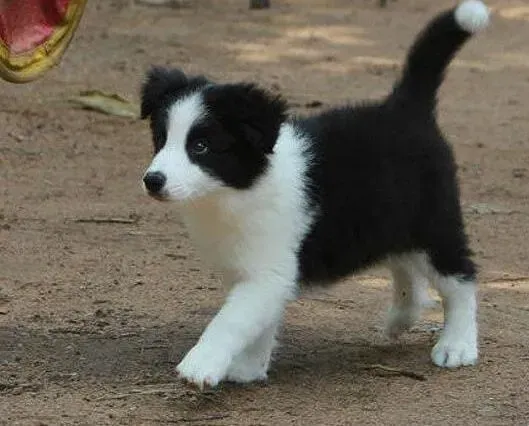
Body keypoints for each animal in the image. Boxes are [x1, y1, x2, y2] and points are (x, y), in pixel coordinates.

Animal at [139, 1, 486, 390]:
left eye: (200, 147)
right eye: (160, 139)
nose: (153, 180)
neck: (237, 190)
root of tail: (405, 107)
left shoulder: (269, 270)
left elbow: (232, 319)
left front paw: (202, 364)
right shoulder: (252, 271)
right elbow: (255, 322)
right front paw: (250, 367)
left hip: (433, 224)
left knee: (460, 280)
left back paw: (457, 345)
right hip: (387, 219)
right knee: (405, 267)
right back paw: (402, 317)